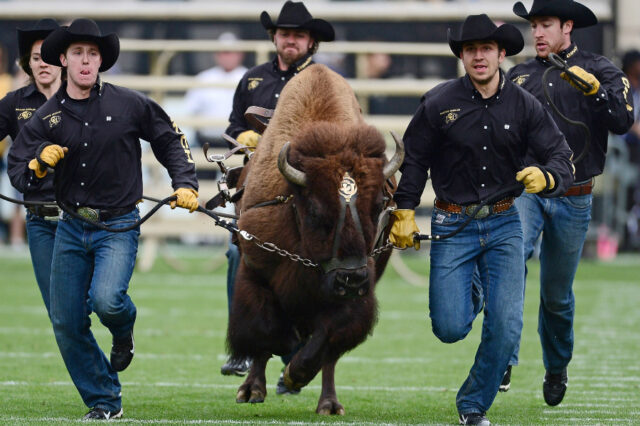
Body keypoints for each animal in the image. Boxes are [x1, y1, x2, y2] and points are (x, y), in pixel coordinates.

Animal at [228, 65, 402, 414]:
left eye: (379, 205)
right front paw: (254, 387)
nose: (351, 279)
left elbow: (326, 342)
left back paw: (328, 404)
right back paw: (253, 390)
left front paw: (295, 376)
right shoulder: (256, 273)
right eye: (316, 211)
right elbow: (265, 331)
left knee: (328, 355)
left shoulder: (356, 296)